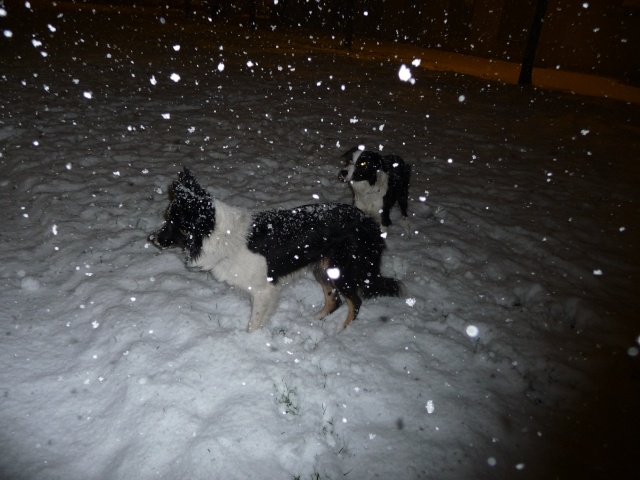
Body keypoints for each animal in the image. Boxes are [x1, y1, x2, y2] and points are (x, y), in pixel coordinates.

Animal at [149, 167, 400, 332]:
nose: (152, 239)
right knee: (334, 300)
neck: (224, 237)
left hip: (343, 269)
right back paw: (313, 320)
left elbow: (254, 324)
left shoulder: (265, 291)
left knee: (355, 302)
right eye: (167, 218)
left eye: (178, 225)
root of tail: (369, 223)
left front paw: (251, 342)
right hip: (323, 268)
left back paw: (342, 333)